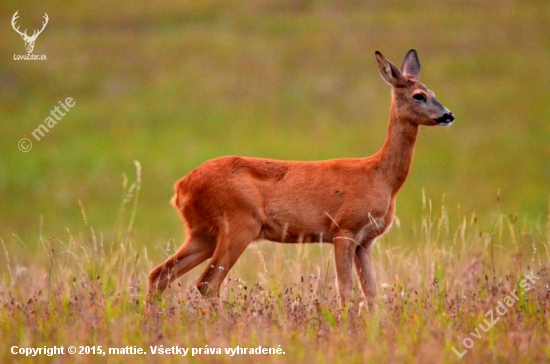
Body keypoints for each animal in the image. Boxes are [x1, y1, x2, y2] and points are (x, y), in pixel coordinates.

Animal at [147, 49, 458, 312]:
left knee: (159, 273)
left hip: (203, 232)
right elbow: (346, 290)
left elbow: (371, 294)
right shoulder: (343, 229)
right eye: (418, 95)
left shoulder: (365, 241)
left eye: (433, 92)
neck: (380, 177)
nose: (448, 114)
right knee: (206, 284)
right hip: (238, 223)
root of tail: (181, 187)